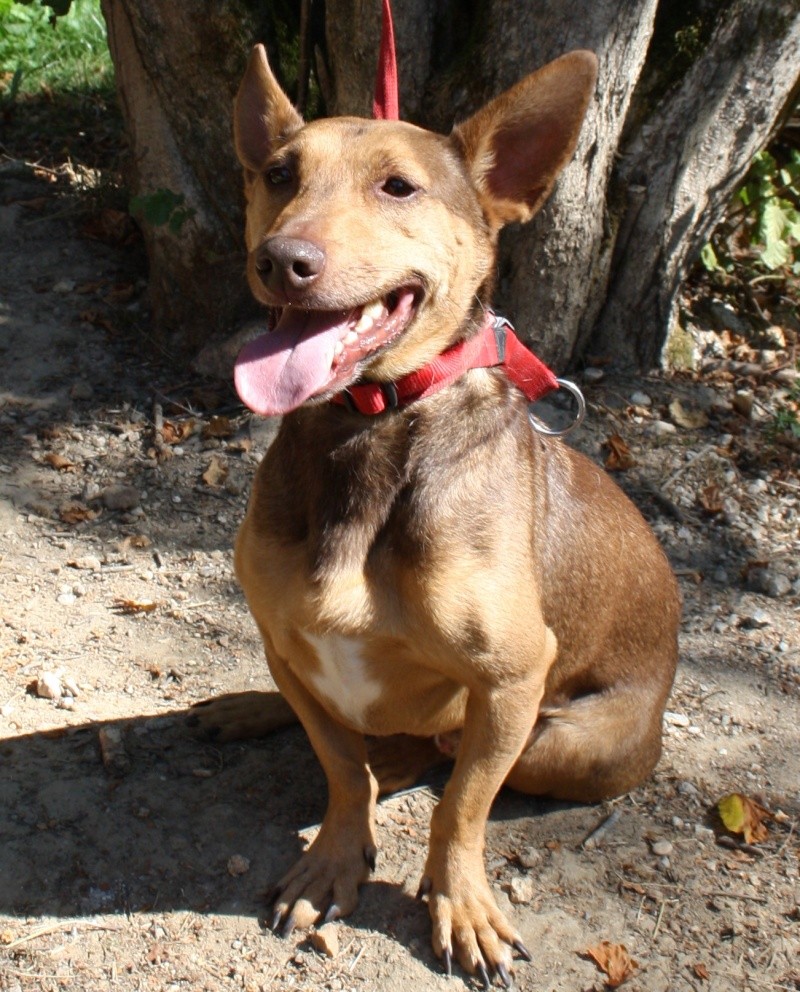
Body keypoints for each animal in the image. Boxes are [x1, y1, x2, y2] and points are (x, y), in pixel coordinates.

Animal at [191, 44, 680, 984]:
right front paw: (335, 858)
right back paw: (246, 709)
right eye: (279, 174)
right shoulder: (287, 639)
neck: (369, 428)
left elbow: (460, 809)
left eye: (399, 188)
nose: (282, 259)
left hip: (570, 740)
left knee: (439, 756)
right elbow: (341, 770)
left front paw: (461, 906)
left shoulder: (511, 679)